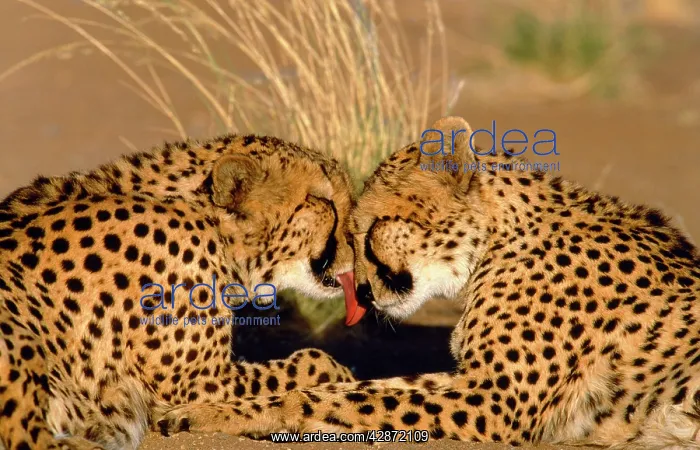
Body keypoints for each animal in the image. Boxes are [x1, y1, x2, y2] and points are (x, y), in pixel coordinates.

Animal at [156, 116, 700, 449]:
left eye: (368, 227)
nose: (363, 294)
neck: (498, 239)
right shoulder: (473, 381)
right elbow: (360, 388)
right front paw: (214, 406)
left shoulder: (494, 399)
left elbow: (339, 398)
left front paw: (212, 414)